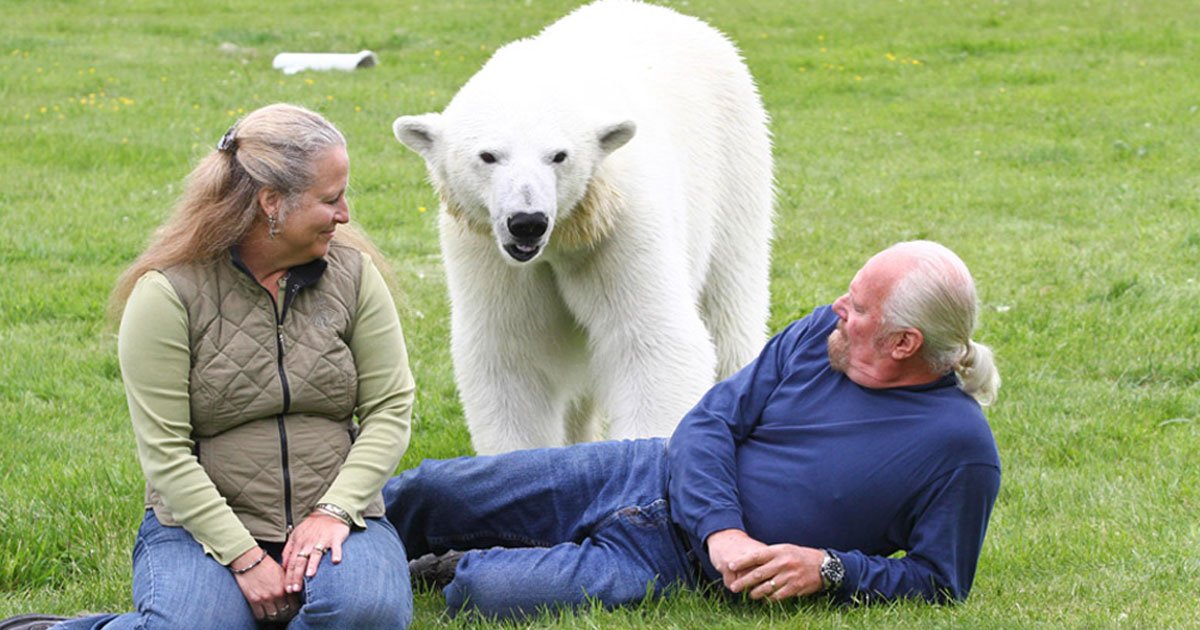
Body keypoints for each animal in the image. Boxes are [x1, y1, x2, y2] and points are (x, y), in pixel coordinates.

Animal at [388, 0, 772, 453]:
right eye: (488, 156)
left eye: (559, 155)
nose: (528, 223)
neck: (561, 240)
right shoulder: (486, 252)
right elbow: (512, 355)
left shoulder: (619, 225)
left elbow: (652, 342)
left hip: (733, 168)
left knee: (728, 309)